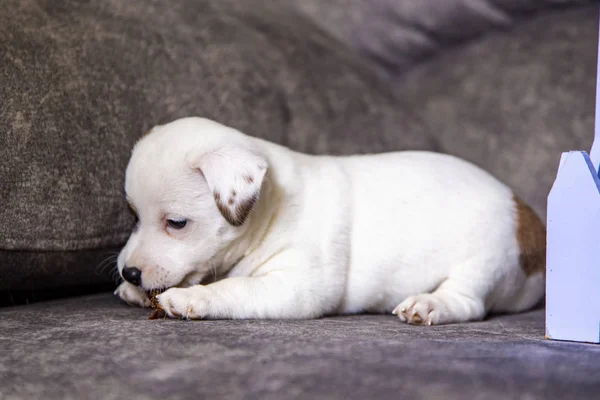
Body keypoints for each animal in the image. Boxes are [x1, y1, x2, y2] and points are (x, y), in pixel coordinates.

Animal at [115, 116, 548, 324]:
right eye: (133, 216)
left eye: (177, 223)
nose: (130, 273)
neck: (270, 209)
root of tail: (530, 218)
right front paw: (135, 292)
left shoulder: (297, 286)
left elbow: (234, 288)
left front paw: (191, 298)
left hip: (486, 260)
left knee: (467, 301)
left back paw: (431, 304)